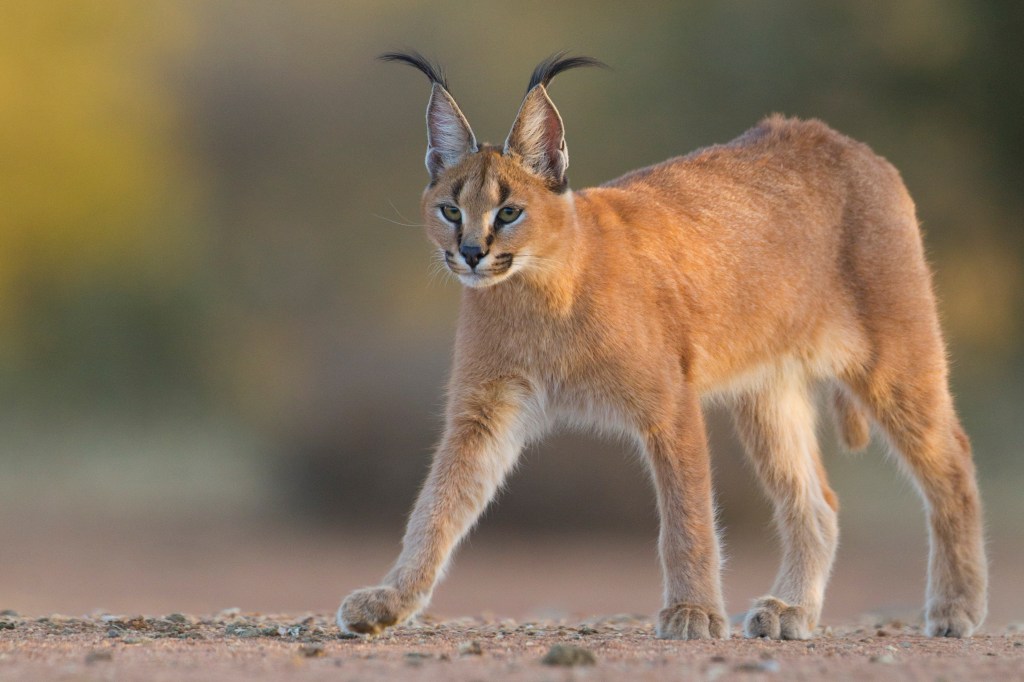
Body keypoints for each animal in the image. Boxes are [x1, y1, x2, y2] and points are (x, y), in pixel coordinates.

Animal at [339, 51, 987, 638]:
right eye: (450, 209)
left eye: (509, 211)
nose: (472, 253)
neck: (536, 291)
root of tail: (837, 139)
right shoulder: (485, 410)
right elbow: (436, 505)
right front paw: (390, 599)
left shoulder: (669, 402)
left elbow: (686, 518)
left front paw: (693, 612)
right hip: (766, 390)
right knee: (816, 502)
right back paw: (793, 611)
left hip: (894, 358)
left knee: (953, 460)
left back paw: (956, 608)